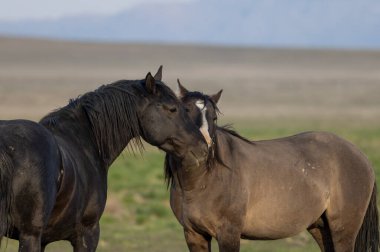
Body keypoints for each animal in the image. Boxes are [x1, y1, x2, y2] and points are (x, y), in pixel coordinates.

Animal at [0, 68, 208, 251]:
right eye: (172, 109)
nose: (203, 148)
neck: (84, 139)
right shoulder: (87, 233)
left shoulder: (45, 239)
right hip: (30, 235)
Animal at [166, 81, 378, 251]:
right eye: (185, 112)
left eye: (213, 118)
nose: (203, 147)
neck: (201, 181)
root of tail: (362, 157)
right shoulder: (194, 234)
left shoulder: (228, 234)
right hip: (320, 227)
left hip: (342, 230)